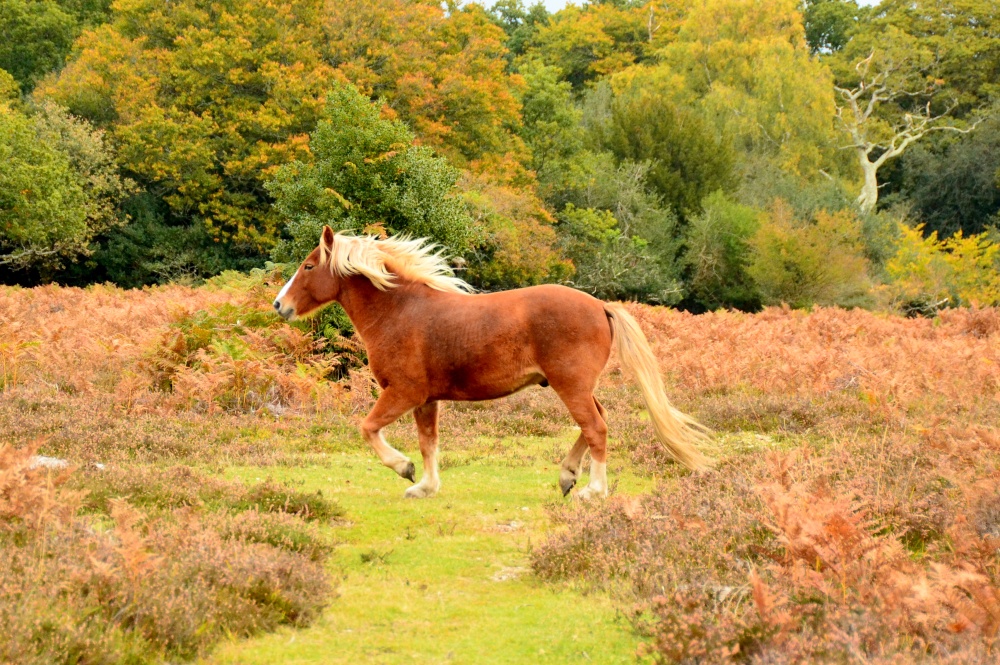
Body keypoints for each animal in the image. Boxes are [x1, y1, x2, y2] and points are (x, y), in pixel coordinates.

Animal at [273, 226, 713, 499]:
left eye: (309, 266)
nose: (280, 305)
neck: (399, 312)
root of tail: (600, 306)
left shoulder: (403, 392)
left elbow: (367, 429)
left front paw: (404, 469)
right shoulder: (426, 400)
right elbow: (429, 443)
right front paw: (425, 486)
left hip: (570, 384)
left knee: (596, 428)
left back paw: (593, 490)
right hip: (577, 387)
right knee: (595, 423)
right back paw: (568, 477)